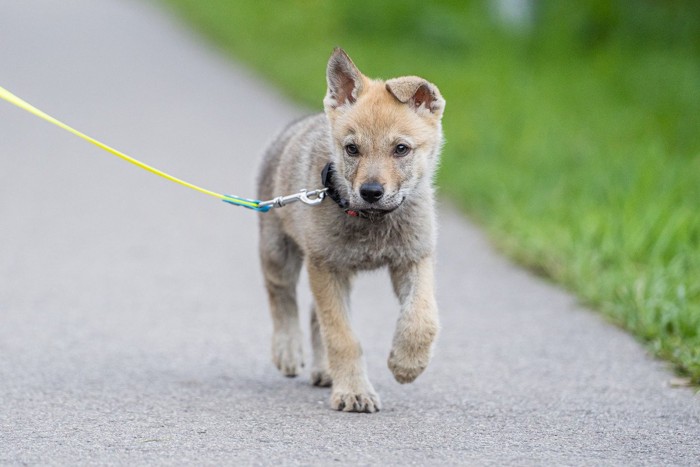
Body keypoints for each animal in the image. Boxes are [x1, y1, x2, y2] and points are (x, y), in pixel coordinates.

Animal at [258, 47, 448, 414]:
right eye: (352, 149)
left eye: (401, 149)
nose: (371, 191)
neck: (373, 221)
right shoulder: (325, 267)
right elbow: (343, 337)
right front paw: (354, 393)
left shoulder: (415, 259)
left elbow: (422, 318)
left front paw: (407, 363)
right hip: (278, 252)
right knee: (281, 296)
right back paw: (288, 349)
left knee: (315, 317)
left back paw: (324, 370)